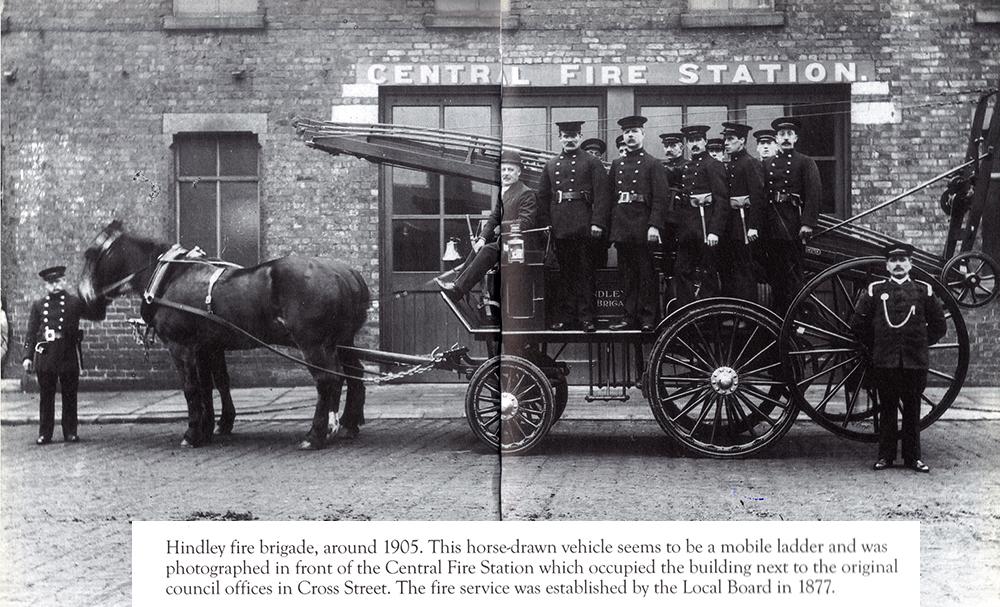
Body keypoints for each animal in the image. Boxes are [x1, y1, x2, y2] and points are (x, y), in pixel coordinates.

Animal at [80, 221, 372, 448]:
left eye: (90, 254)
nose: (85, 303)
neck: (171, 276)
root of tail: (346, 273)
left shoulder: (180, 346)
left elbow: (191, 387)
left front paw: (193, 433)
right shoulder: (205, 346)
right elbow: (212, 384)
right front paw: (212, 427)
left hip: (313, 344)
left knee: (326, 380)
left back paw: (315, 435)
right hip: (341, 341)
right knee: (351, 374)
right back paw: (346, 424)